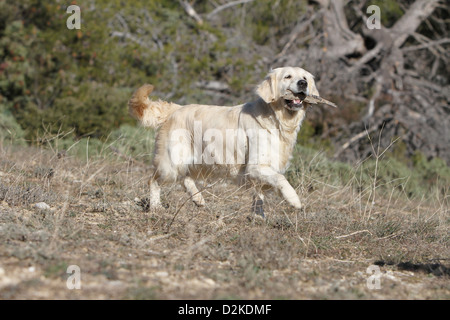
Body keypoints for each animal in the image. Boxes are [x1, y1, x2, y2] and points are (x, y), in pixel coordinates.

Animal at [128, 67, 322, 218]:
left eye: (304, 78)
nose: (302, 84)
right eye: (288, 76)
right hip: (172, 162)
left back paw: (198, 198)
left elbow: (259, 196)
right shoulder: (256, 166)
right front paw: (294, 199)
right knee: (153, 181)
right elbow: (281, 179)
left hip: (196, 160)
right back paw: (156, 207)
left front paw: (258, 217)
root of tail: (176, 108)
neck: (276, 118)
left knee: (185, 178)